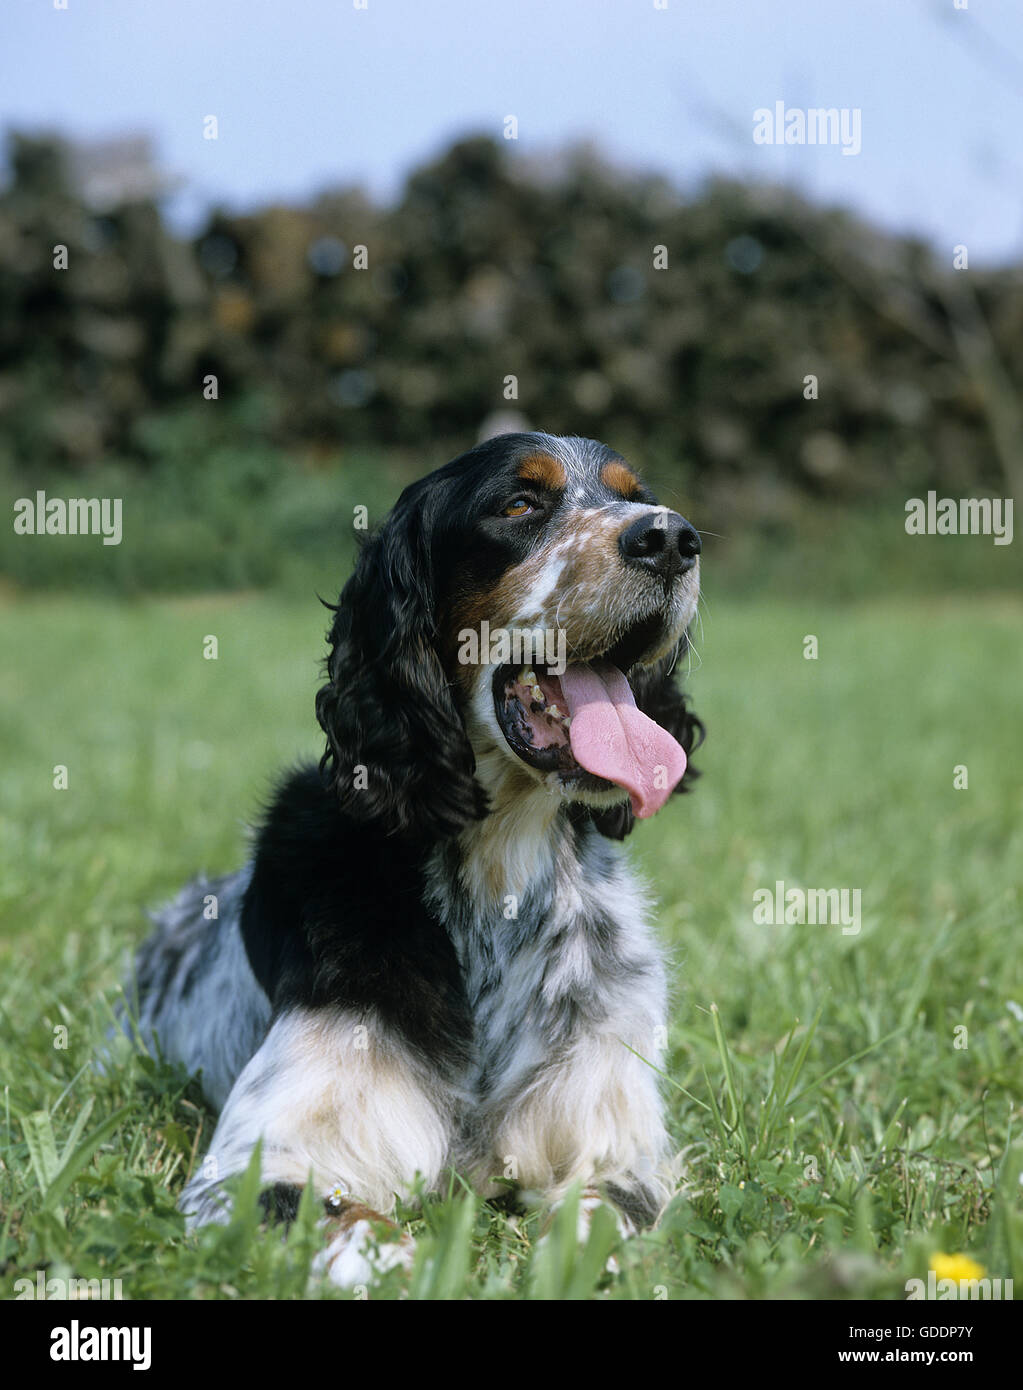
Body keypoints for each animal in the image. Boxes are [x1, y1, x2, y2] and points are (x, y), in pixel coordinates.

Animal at [123, 430, 703, 1278]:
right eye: (518, 504)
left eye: (637, 497)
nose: (669, 538)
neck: (499, 871)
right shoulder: (256, 1170)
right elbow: (372, 1237)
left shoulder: (616, 1146)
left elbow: (594, 1219)